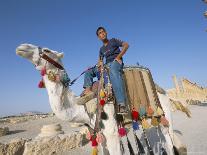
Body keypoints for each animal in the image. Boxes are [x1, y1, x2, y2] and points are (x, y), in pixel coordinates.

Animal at [15, 44, 184, 155]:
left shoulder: (112, 133)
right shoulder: (98, 135)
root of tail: (162, 90)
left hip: (164, 112)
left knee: (169, 141)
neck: (84, 108)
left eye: (47, 50)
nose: (21, 47)